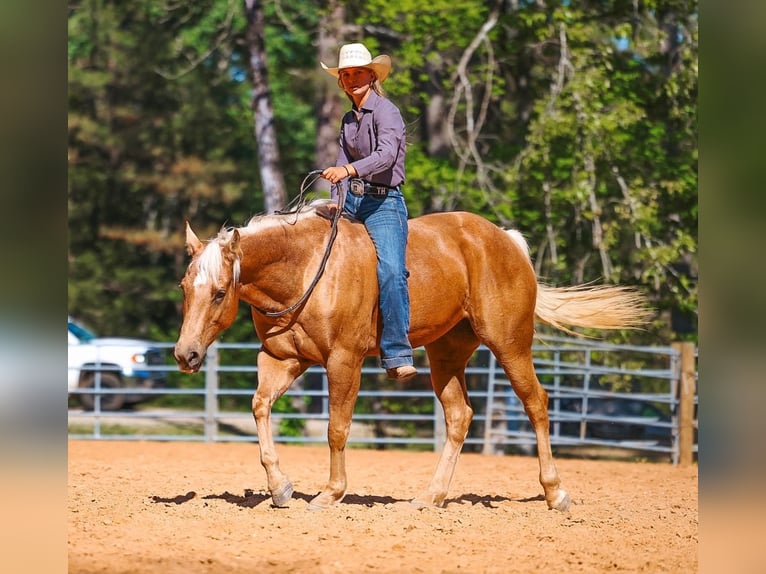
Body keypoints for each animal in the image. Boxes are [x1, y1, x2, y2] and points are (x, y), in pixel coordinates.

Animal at [174, 203, 649, 511]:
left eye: (220, 292)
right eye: (184, 287)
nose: (185, 354)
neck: (305, 267)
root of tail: (506, 242)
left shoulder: (343, 360)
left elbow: (336, 429)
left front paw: (331, 493)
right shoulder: (281, 359)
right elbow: (260, 408)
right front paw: (280, 488)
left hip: (511, 344)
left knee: (536, 404)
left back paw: (555, 493)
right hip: (446, 354)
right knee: (459, 416)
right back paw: (430, 497)